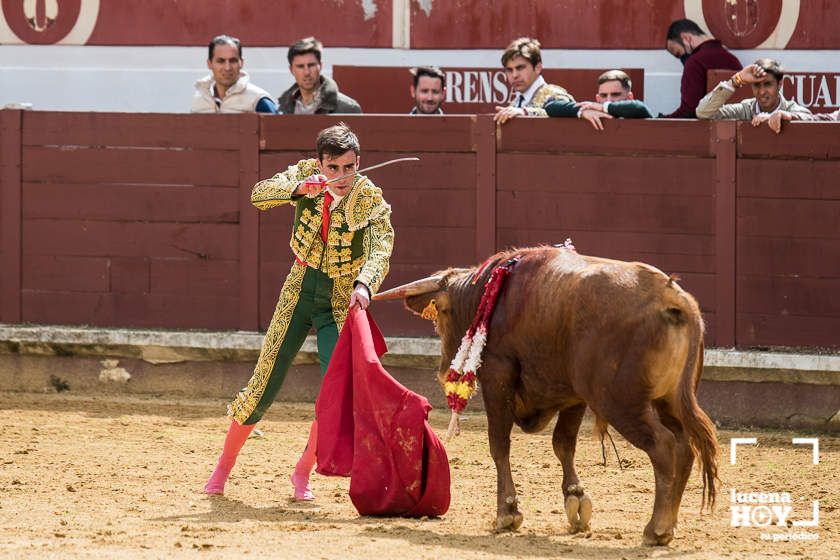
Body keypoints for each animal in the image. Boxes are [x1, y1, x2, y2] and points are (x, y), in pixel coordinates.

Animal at [376, 247, 720, 544]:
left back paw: (656, 529)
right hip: (670, 401)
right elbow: (563, 444)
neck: (488, 297)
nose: (444, 369)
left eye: (442, 312)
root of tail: (672, 298)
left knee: (663, 446)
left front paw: (507, 512)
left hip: (620, 401)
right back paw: (669, 525)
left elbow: (499, 443)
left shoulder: (497, 376)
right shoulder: (573, 395)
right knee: (685, 447)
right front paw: (575, 500)